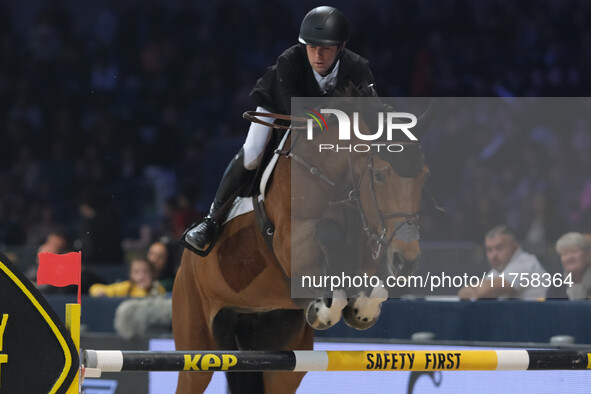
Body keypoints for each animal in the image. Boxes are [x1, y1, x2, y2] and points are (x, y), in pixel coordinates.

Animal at [173, 96, 432, 394]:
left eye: (425, 176)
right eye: (379, 175)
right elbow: (326, 230)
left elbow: (371, 285)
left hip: (281, 360)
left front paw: (360, 311)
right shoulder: (291, 243)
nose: (407, 261)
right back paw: (201, 233)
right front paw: (324, 308)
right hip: (198, 349)